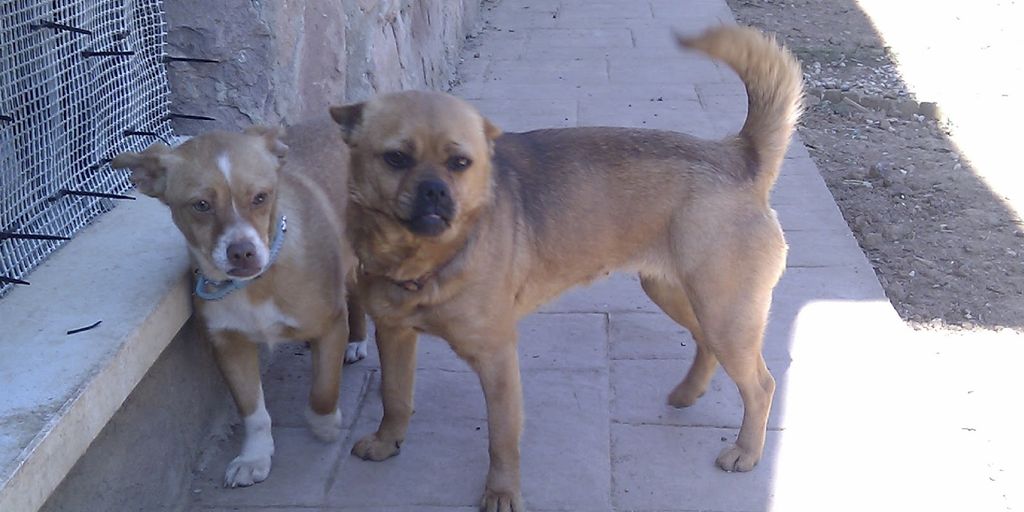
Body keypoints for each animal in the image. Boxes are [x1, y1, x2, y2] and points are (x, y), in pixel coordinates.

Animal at [113, 119, 368, 487]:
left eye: (261, 197)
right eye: (200, 205)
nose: (243, 252)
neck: (255, 285)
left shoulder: (331, 324)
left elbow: (323, 389)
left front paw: (324, 424)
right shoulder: (230, 346)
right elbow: (254, 412)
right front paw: (255, 457)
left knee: (357, 293)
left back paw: (357, 340)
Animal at [331, 24, 802, 512]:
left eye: (460, 163)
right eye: (395, 158)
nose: (435, 193)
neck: (424, 258)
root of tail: (739, 158)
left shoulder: (496, 358)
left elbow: (502, 438)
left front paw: (501, 493)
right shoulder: (394, 335)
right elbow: (394, 397)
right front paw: (387, 442)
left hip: (725, 313)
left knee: (761, 384)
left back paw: (746, 450)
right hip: (680, 296)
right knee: (705, 344)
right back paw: (687, 394)